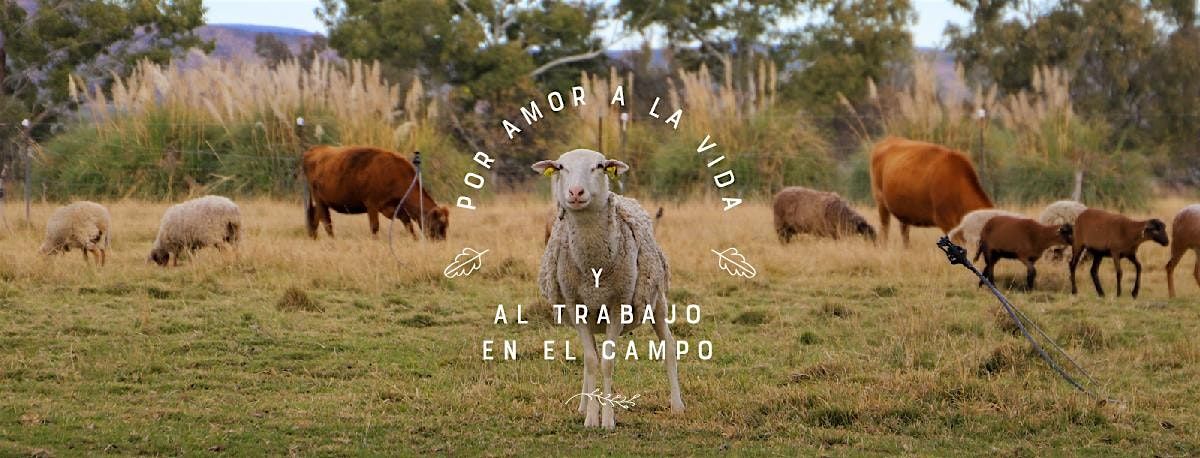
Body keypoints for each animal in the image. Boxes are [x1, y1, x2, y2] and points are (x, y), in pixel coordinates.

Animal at [533, 149, 682, 429]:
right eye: (560, 167)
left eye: (600, 166)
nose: (576, 192)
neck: (594, 267)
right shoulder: (576, 305)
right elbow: (592, 361)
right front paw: (592, 417)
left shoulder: (618, 304)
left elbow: (608, 363)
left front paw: (609, 419)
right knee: (588, 355)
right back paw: (582, 405)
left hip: (656, 299)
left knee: (668, 344)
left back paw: (677, 405)